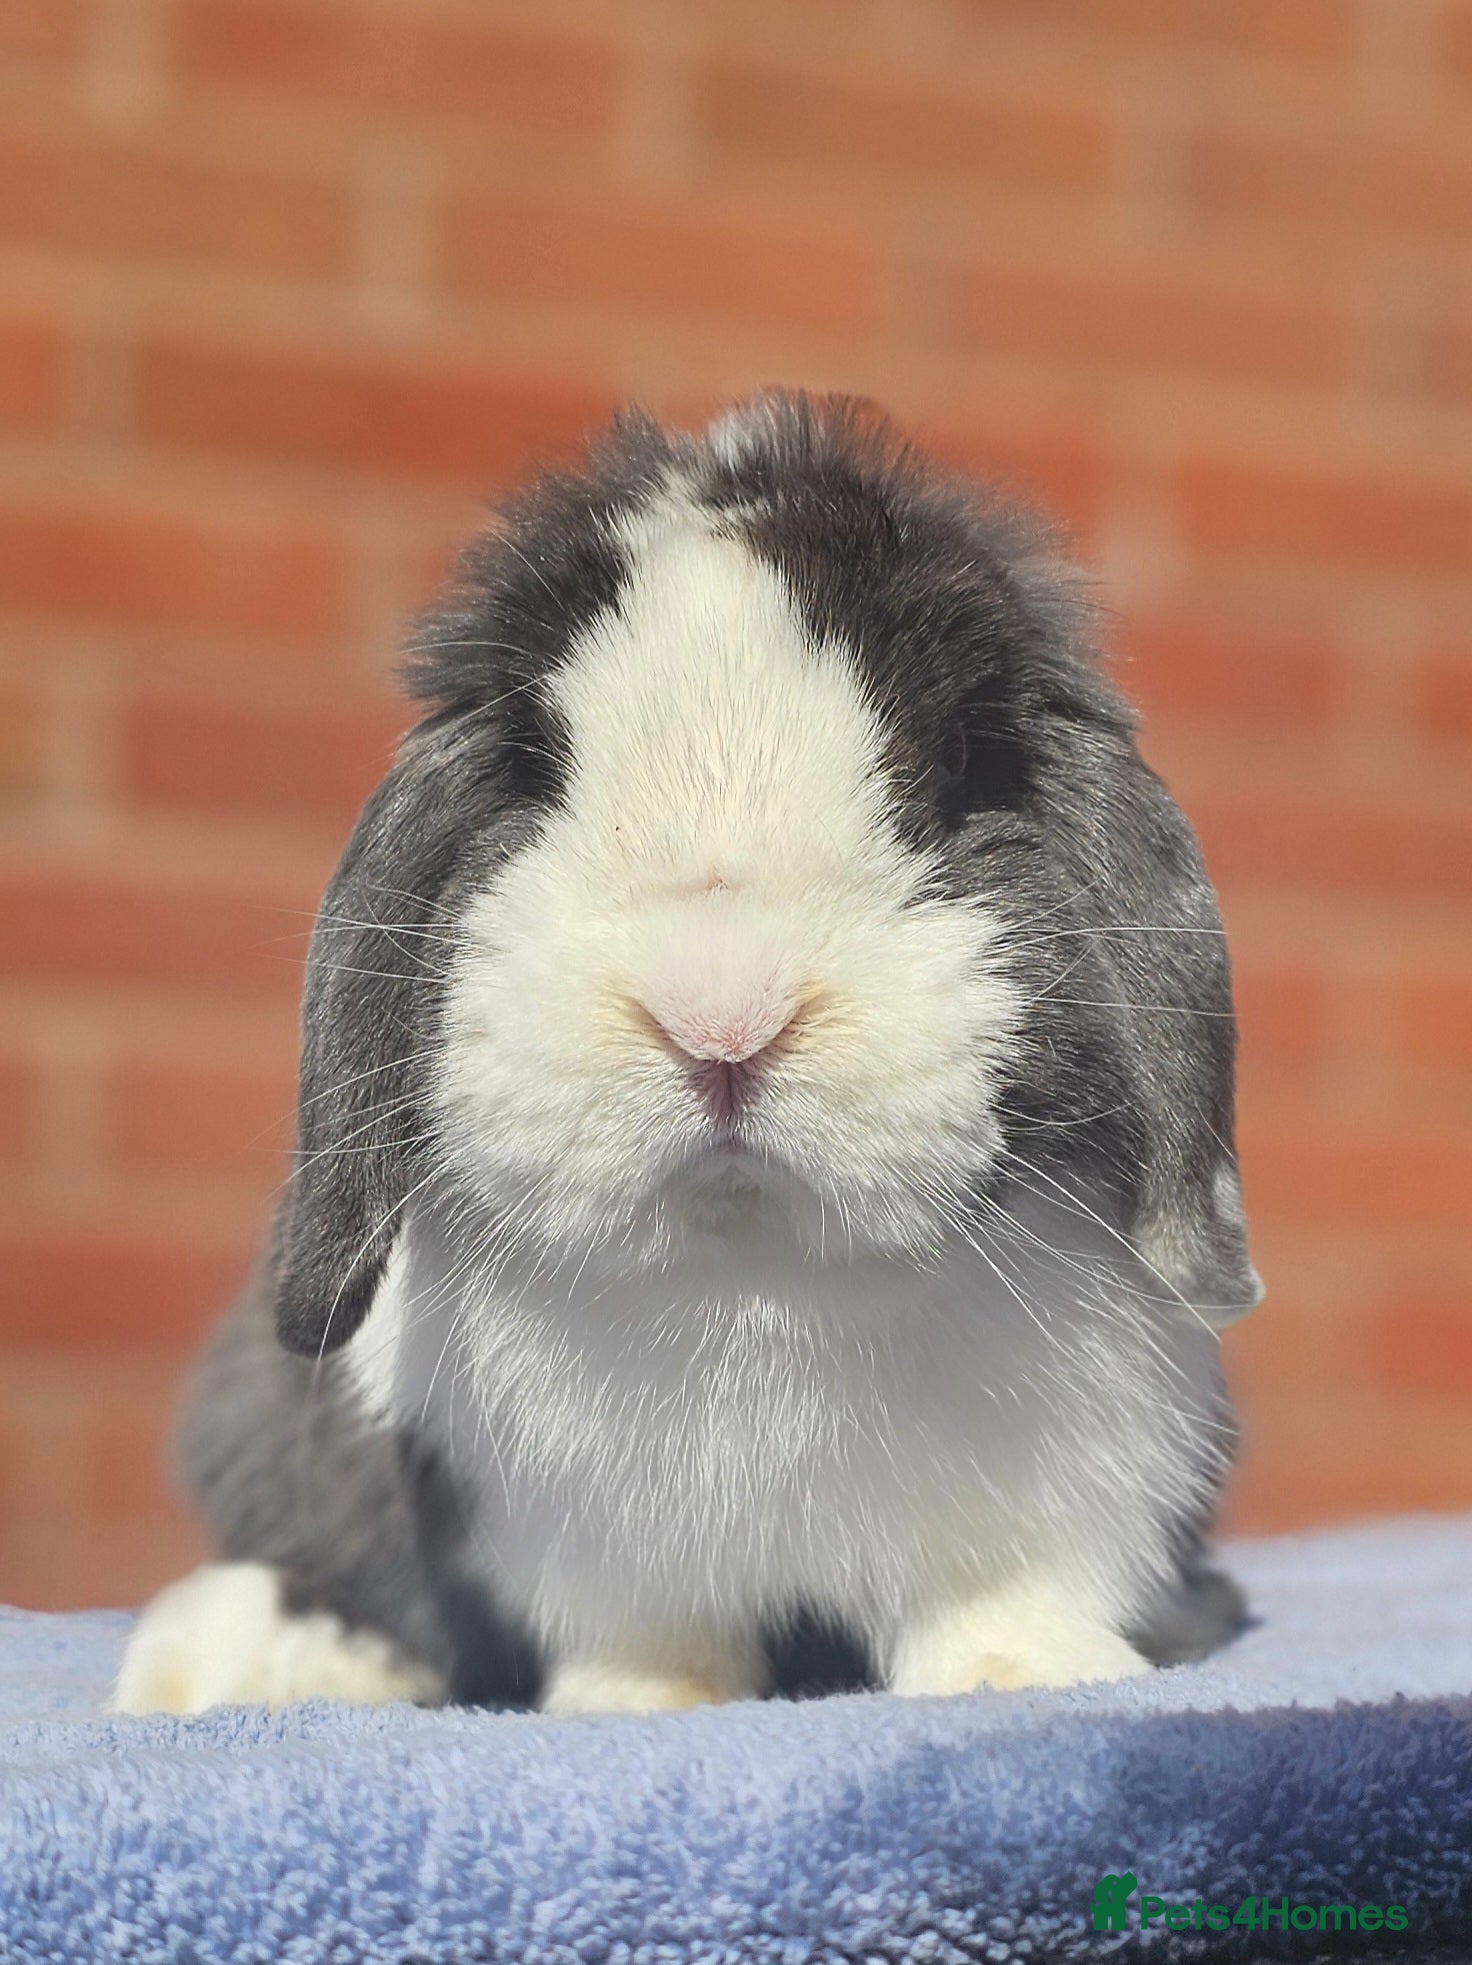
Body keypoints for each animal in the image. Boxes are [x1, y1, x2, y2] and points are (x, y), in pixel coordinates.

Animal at [110, 392, 1260, 1720]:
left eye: (954, 772)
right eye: (532, 768)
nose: (719, 1013)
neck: (750, 1272)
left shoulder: (1068, 1484)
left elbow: (1008, 1593)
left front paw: (1025, 1679)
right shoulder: (575, 1543)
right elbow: (647, 1637)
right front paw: (638, 1706)